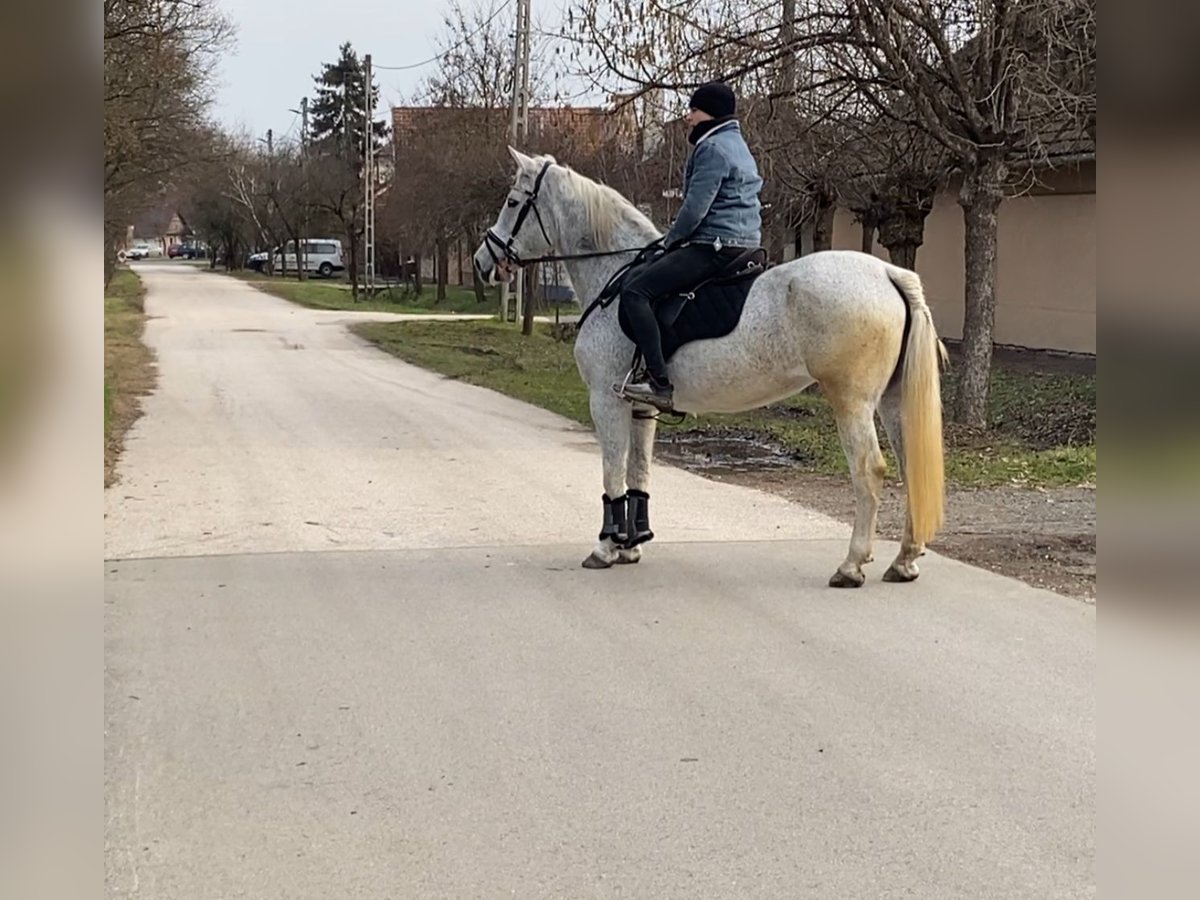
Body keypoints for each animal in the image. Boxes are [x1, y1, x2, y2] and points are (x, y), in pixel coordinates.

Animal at [470, 151, 945, 588]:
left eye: (513, 201)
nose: (481, 262)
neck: (616, 277)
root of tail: (886, 273)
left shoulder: (605, 400)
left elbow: (611, 469)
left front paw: (606, 547)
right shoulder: (640, 406)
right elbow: (637, 469)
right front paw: (631, 545)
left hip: (852, 402)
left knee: (869, 471)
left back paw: (851, 565)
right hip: (891, 402)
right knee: (910, 467)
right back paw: (904, 560)